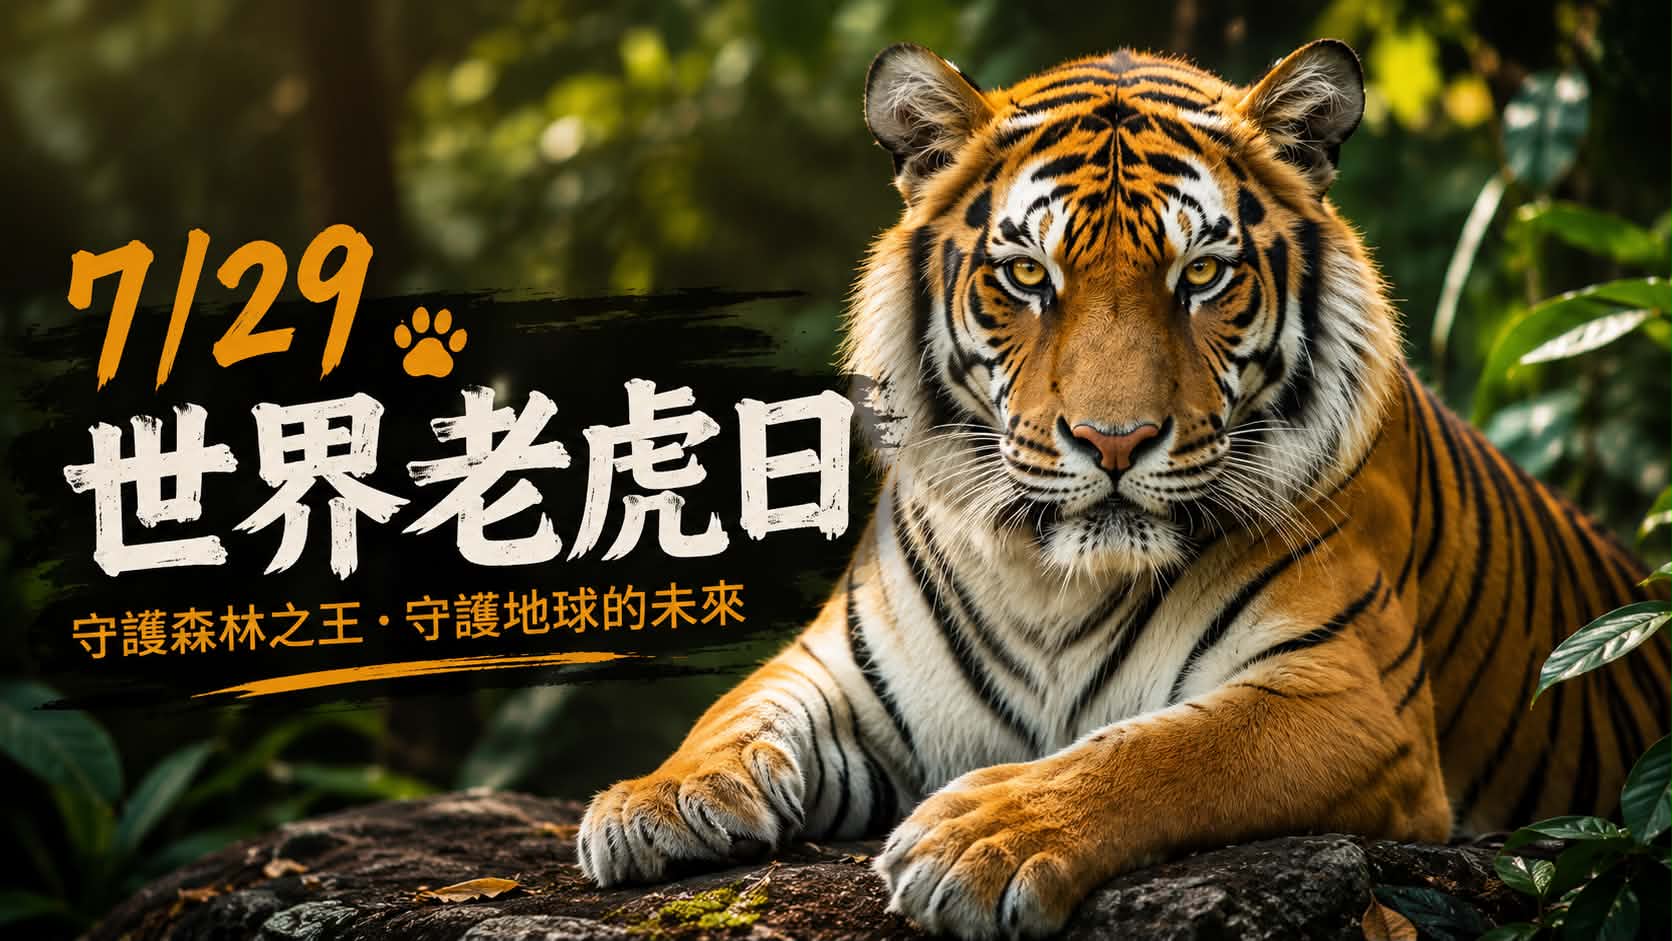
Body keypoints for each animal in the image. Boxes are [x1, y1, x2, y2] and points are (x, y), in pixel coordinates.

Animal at [575, 38, 1672, 939]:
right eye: (1027, 276)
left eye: (1203, 274)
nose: (1115, 441)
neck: (1051, 581)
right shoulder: (844, 669)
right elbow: (737, 710)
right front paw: (652, 802)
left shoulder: (1346, 694)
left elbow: (1163, 752)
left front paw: (983, 835)